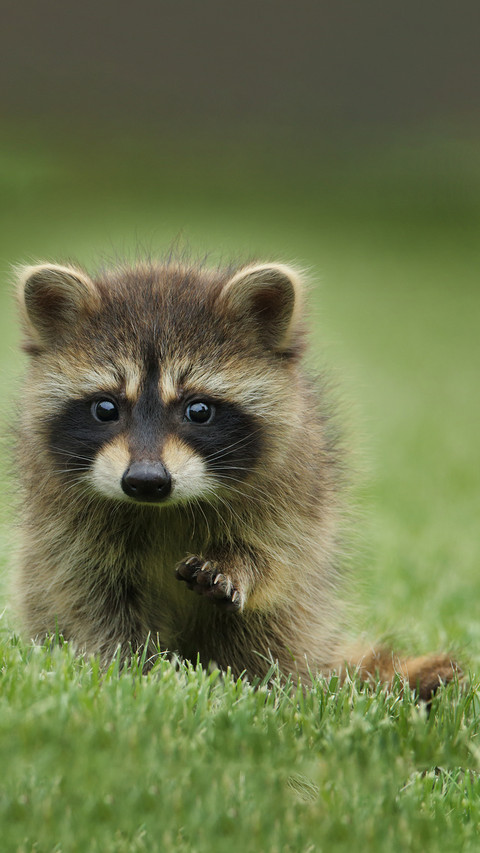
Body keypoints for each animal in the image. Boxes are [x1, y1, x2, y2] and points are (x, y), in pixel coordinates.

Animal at [13, 257, 458, 698]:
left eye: (198, 411)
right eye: (105, 408)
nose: (146, 481)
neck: (164, 508)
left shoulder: (294, 487)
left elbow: (276, 557)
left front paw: (237, 564)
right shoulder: (65, 524)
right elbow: (90, 596)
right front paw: (131, 670)